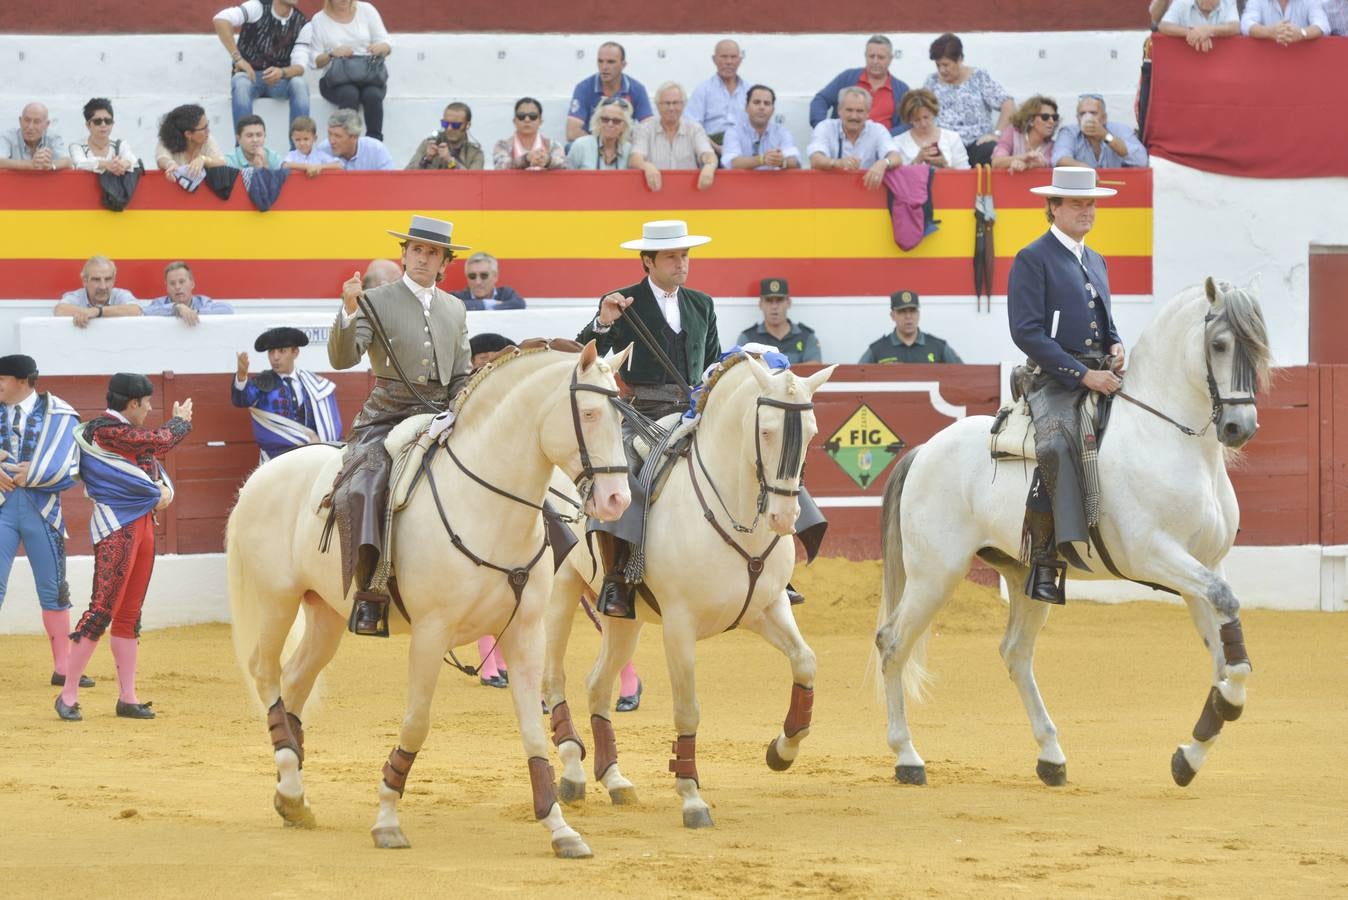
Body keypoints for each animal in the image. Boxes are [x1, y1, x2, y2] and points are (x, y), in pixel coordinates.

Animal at [227, 340, 630, 856]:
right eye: (590, 412)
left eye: (622, 416)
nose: (618, 500)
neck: (486, 505)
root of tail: (261, 476)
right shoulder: (430, 634)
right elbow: (417, 721)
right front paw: (386, 819)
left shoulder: (524, 631)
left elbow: (532, 731)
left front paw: (560, 828)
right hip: (277, 600)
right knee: (265, 671)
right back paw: (289, 779)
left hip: (326, 612)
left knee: (295, 680)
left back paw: (292, 795)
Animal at [541, 355, 835, 829]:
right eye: (767, 431)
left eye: (811, 431)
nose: (784, 516)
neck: (734, 514)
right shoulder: (679, 625)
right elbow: (687, 707)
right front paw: (692, 797)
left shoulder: (767, 608)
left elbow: (805, 662)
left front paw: (782, 750)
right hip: (559, 593)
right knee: (554, 679)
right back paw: (572, 772)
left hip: (625, 619)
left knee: (598, 684)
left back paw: (615, 779)